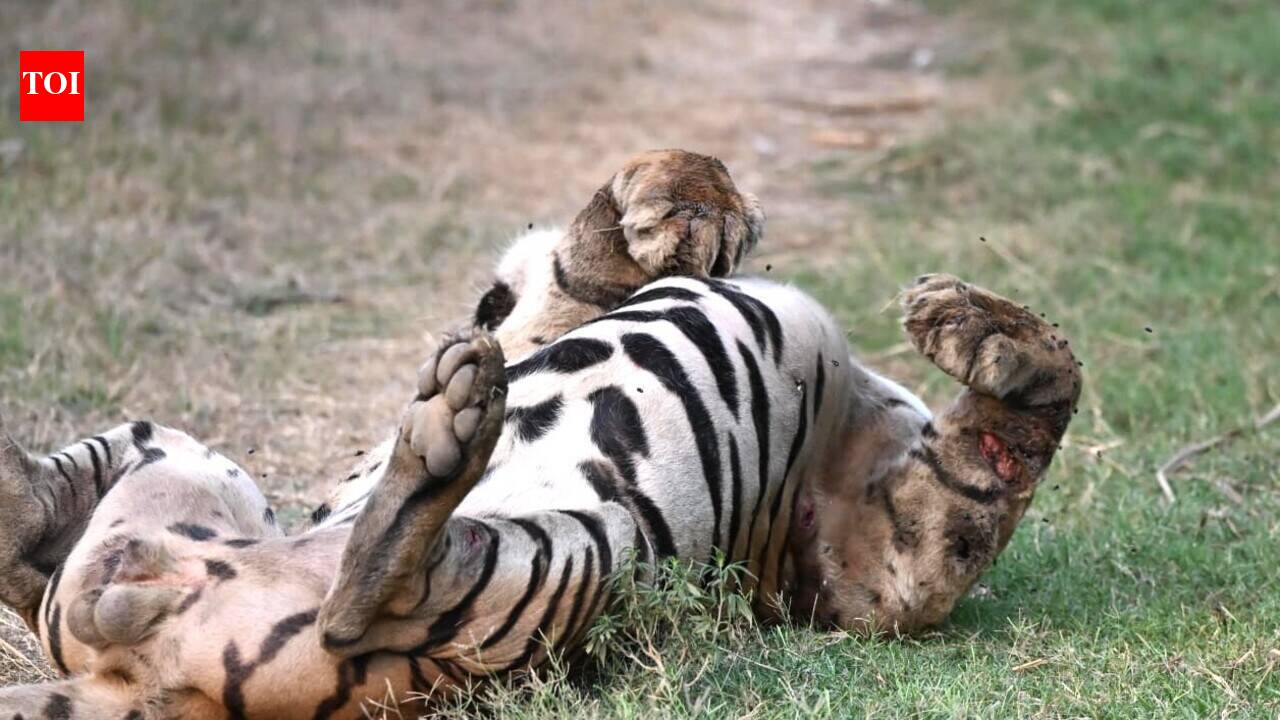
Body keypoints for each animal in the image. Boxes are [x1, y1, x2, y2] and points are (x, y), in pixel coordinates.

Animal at [0, 150, 1081, 718]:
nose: (732, 220)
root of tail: (133, 679)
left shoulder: (874, 560)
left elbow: (994, 469)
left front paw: (975, 327)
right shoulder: (875, 558)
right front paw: (679, 198)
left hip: (545, 552)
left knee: (356, 590)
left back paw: (450, 425)